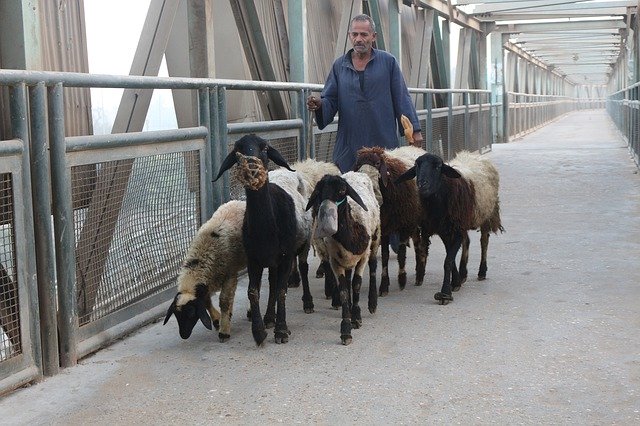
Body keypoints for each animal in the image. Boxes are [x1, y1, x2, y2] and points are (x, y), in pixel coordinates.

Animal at [162, 200, 248, 342]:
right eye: (176, 315)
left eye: (191, 314)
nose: (184, 335)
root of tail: (240, 201)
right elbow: (207, 301)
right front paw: (217, 320)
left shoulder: (230, 274)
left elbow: (224, 301)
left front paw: (224, 331)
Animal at [212, 135, 298, 344]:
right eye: (237, 150)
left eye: (265, 148)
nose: (251, 165)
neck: (267, 230)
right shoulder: (253, 259)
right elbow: (253, 291)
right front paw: (258, 332)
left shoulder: (286, 256)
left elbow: (282, 291)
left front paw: (281, 331)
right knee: (271, 285)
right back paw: (268, 318)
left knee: (276, 286)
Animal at [352, 145, 428, 294]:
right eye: (358, 164)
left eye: (377, 163)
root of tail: (414, 147)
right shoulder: (384, 228)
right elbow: (385, 256)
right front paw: (384, 286)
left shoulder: (404, 224)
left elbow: (402, 253)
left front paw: (402, 280)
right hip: (413, 220)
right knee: (417, 243)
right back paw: (418, 273)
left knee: (422, 245)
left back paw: (420, 275)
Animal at [396, 151, 504, 304]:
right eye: (416, 166)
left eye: (438, 167)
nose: (422, 184)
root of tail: (475, 155)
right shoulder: (444, 230)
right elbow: (450, 257)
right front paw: (456, 282)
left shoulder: (457, 230)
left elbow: (448, 260)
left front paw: (445, 293)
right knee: (467, 241)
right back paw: (463, 273)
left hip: (486, 213)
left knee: (484, 241)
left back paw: (482, 271)